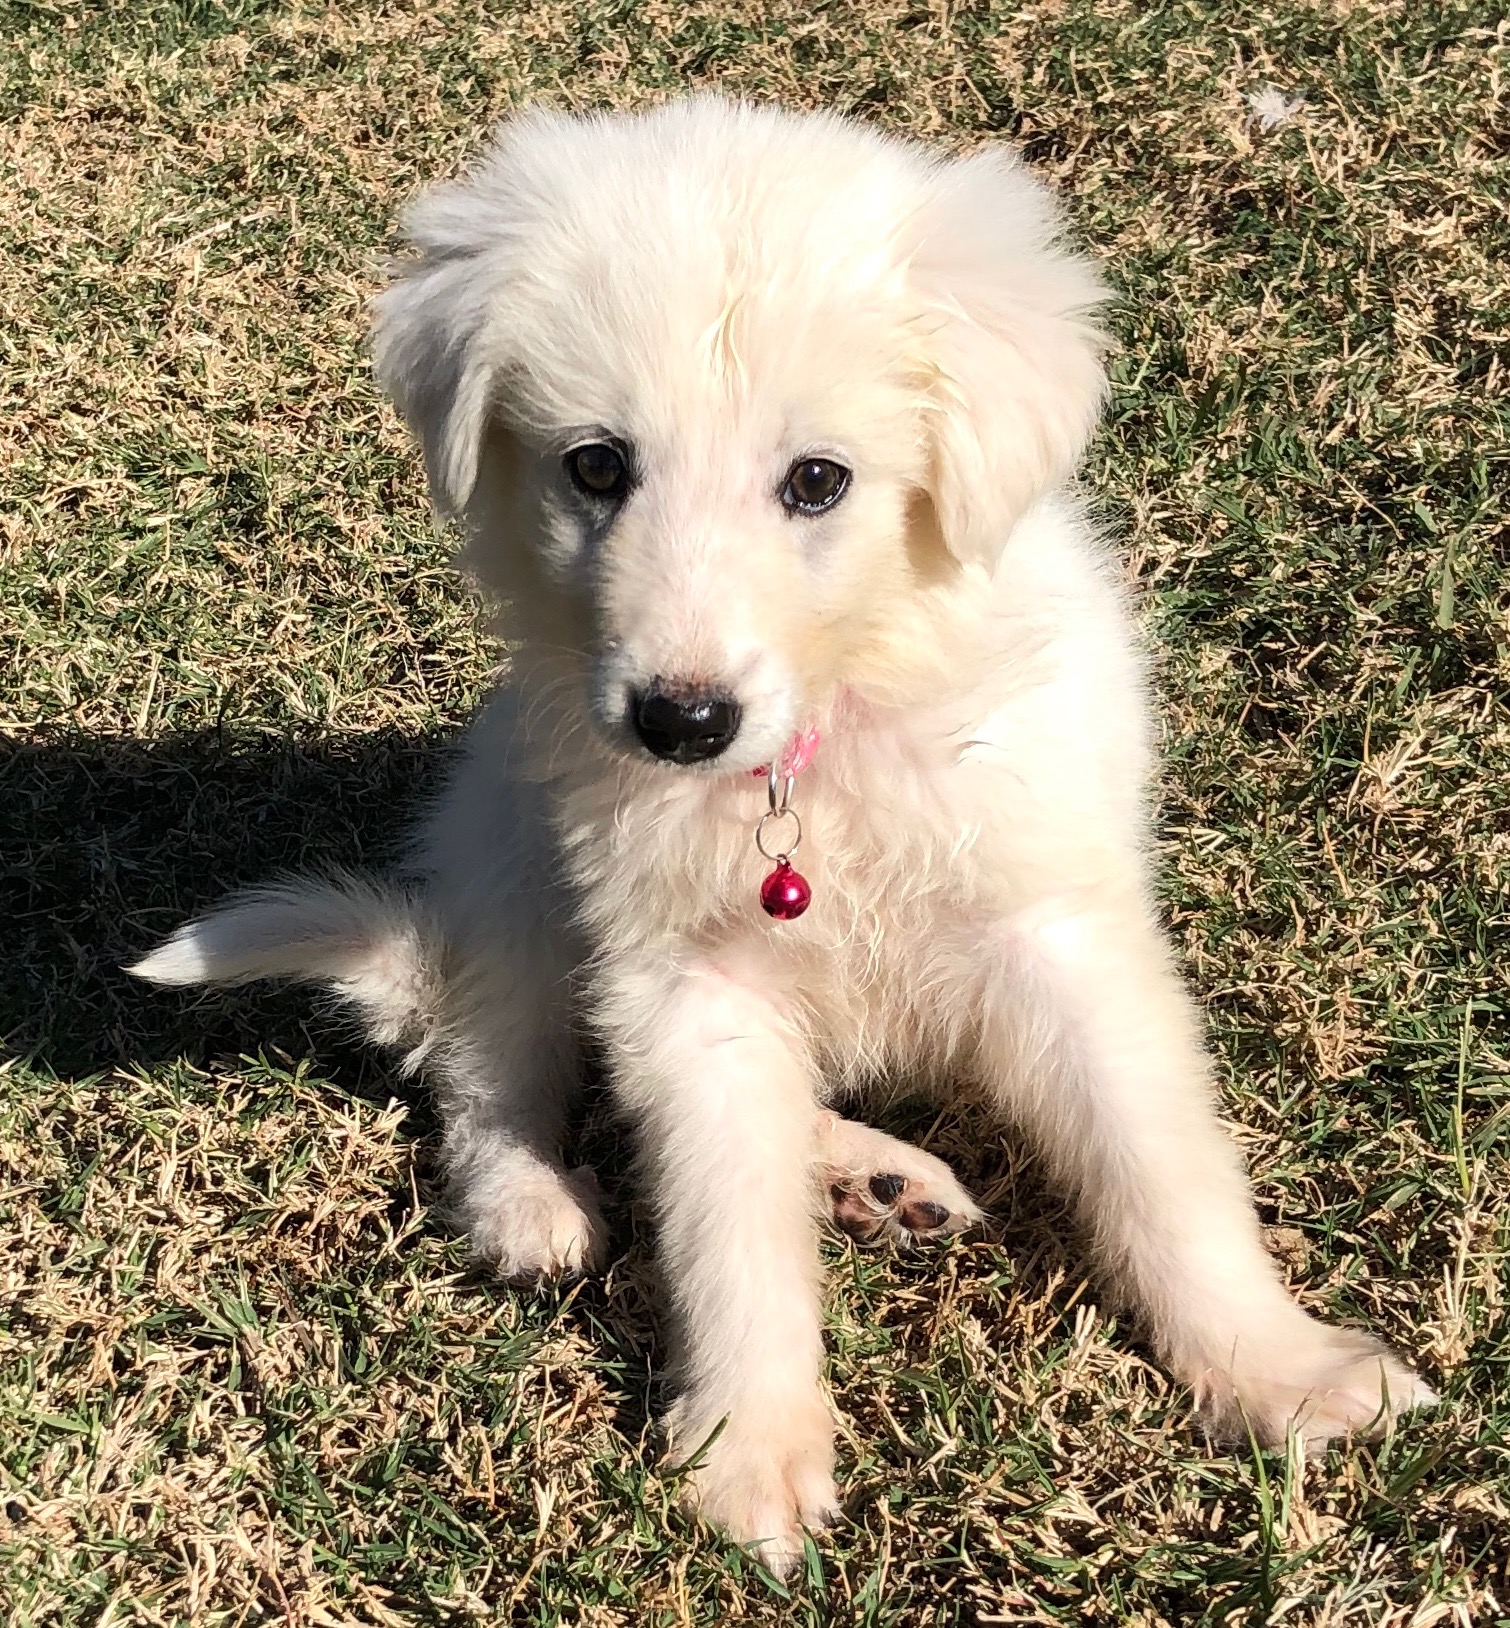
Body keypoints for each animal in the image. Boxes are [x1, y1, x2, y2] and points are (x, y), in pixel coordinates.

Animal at [132, 97, 1435, 1572]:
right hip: (511, 855)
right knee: (487, 1066)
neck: (812, 750)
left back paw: (872, 1177)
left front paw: (1278, 1371)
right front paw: (748, 1455)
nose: (678, 721)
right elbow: (724, 1232)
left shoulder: (1057, 933)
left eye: (817, 482)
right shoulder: (684, 987)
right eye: (596, 466)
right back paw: (535, 1201)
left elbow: (1162, 1174)